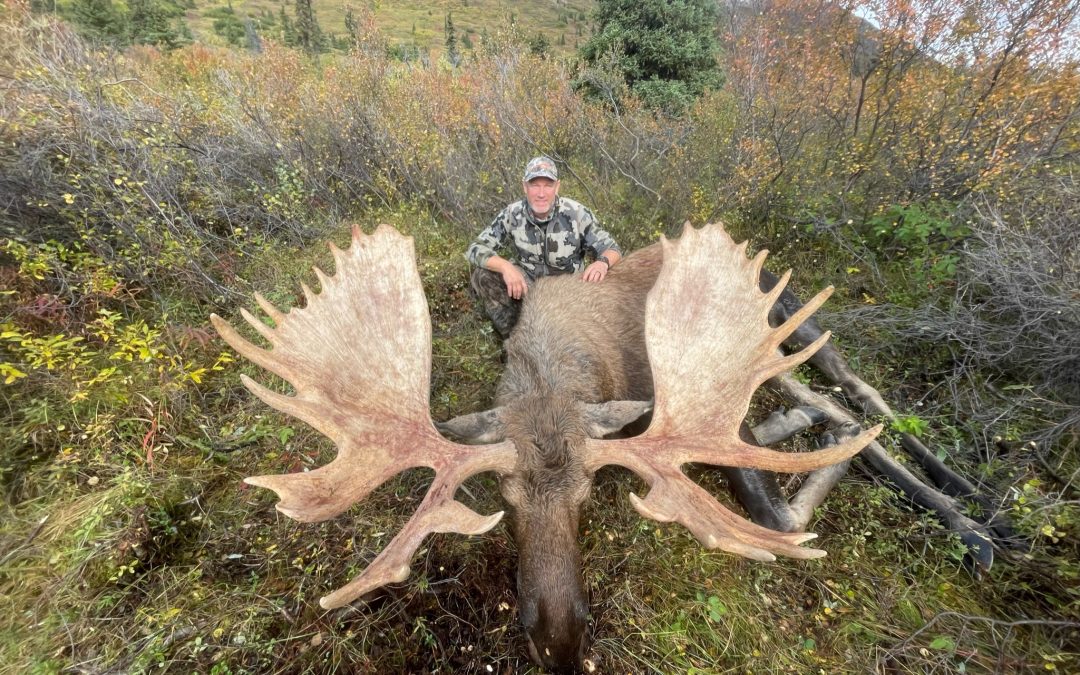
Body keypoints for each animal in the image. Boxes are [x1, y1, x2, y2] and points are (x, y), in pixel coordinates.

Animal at [211, 222, 1013, 673]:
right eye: (502, 499)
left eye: (588, 495)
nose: (561, 644)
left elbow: (768, 503)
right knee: (839, 409)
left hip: (789, 323)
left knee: (856, 395)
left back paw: (977, 516)